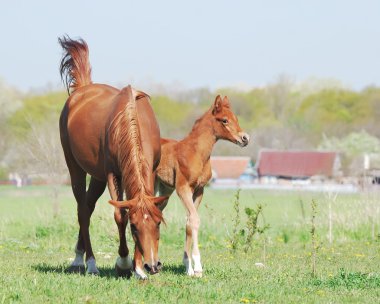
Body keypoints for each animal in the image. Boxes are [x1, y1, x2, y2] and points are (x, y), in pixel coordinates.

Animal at [58, 36, 166, 280]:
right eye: (134, 228)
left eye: (157, 223)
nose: (153, 265)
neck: (132, 120)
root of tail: (82, 89)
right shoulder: (112, 173)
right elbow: (120, 214)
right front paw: (124, 263)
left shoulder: (150, 169)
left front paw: (138, 268)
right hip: (75, 168)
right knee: (82, 210)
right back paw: (87, 263)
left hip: (97, 176)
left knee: (88, 206)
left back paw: (80, 256)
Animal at [154, 95, 249, 278]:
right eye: (224, 120)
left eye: (236, 118)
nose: (245, 138)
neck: (197, 153)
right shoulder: (183, 188)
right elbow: (195, 220)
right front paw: (198, 267)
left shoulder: (199, 190)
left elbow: (190, 222)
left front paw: (188, 267)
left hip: (163, 190)